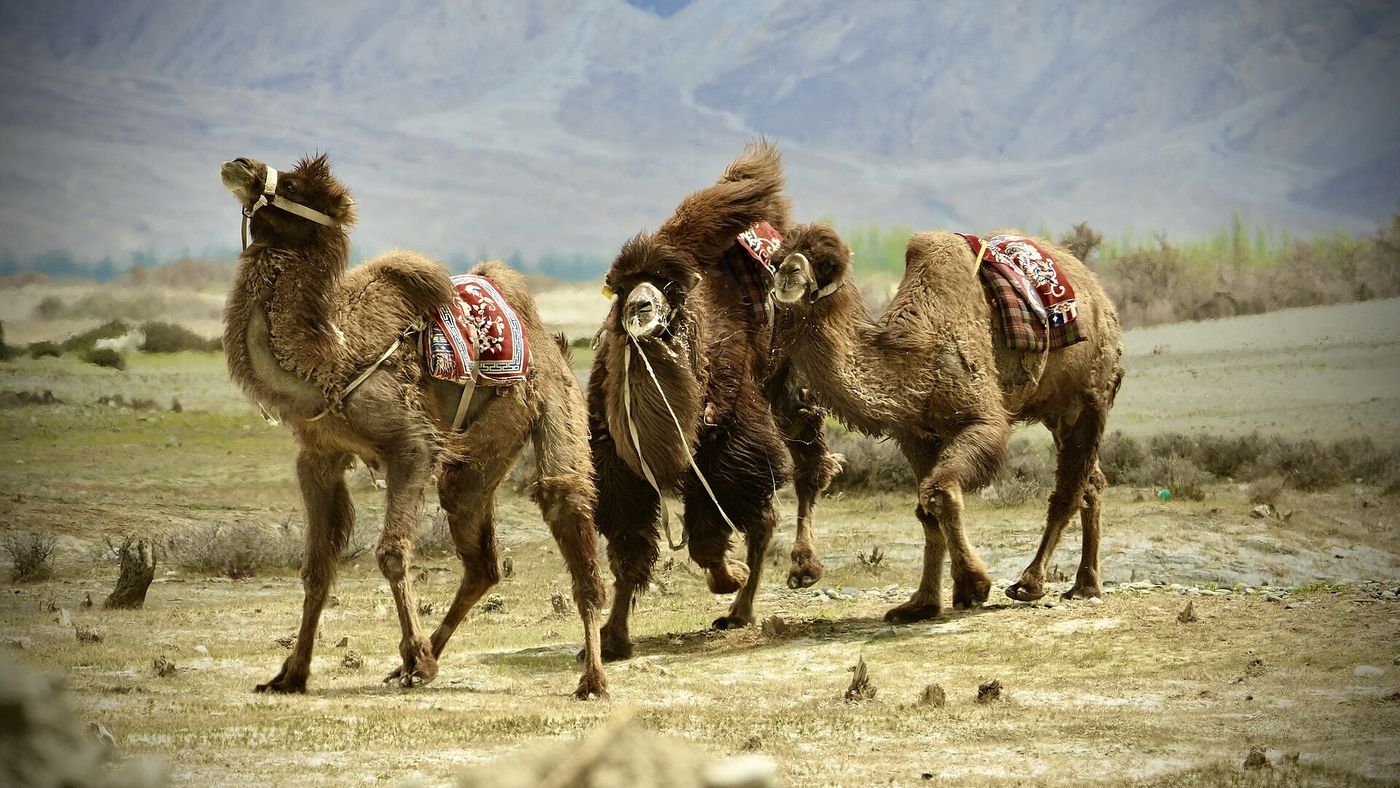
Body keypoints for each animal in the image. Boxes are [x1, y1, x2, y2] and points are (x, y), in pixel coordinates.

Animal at [219, 154, 606, 698]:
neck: (332, 358)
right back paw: (419, 661)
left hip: (556, 406)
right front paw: (289, 674)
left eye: (292, 186)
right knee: (482, 561)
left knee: (564, 501)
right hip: (475, 463)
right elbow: (316, 567)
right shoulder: (317, 455)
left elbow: (391, 554)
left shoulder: (411, 445)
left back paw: (591, 677)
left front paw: (414, 653)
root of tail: (548, 338)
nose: (240, 164)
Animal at [588, 141, 840, 659]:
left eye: (669, 287)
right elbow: (629, 548)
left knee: (804, 473)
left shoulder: (731, 438)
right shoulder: (618, 462)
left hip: (789, 389)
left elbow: (708, 532)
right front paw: (612, 637)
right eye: (620, 288)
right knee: (770, 508)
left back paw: (794, 573)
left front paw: (731, 579)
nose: (639, 308)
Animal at [769, 224, 1124, 621]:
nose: (788, 273)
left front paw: (973, 586)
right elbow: (925, 511)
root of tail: (1097, 293)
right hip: (1058, 410)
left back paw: (1031, 583)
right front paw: (921, 603)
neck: (916, 353)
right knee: (1091, 481)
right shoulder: (915, 434)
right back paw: (1084, 585)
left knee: (1069, 488)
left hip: (1089, 394)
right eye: (776, 259)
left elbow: (940, 492)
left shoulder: (981, 419)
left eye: (826, 264)